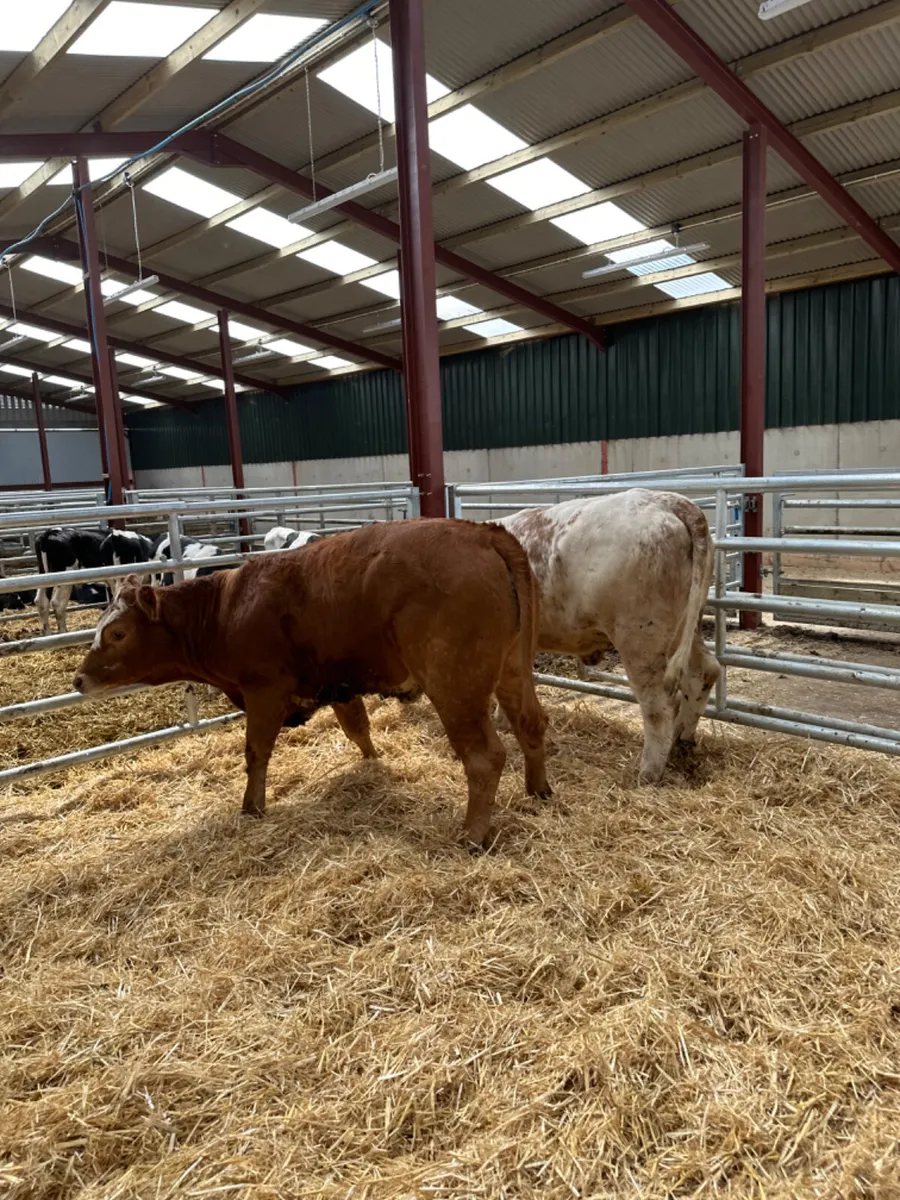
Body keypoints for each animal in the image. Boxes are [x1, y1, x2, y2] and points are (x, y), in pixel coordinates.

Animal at [73, 519, 550, 847]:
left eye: (117, 634)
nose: (79, 679)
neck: (227, 608)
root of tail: (483, 533)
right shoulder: (337, 685)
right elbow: (357, 728)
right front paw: (372, 764)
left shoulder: (263, 692)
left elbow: (256, 753)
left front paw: (252, 806)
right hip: (514, 671)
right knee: (531, 724)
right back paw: (538, 790)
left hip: (456, 686)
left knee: (484, 757)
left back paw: (472, 834)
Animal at [498, 489, 719, 784]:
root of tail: (669, 501)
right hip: (686, 628)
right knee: (704, 672)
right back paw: (682, 741)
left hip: (640, 639)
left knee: (659, 706)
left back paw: (649, 772)